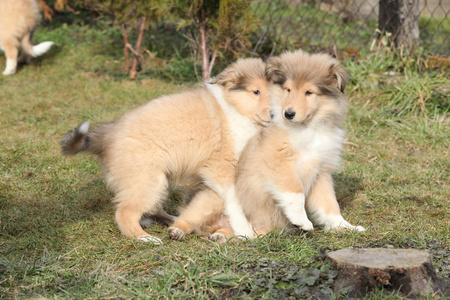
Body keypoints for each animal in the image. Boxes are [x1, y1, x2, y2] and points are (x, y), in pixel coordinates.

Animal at [59, 57, 270, 245]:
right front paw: (244, 230)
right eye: (256, 91)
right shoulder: (221, 168)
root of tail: (107, 134)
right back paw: (145, 238)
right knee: (125, 213)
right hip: (148, 180)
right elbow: (235, 200)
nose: (275, 113)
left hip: (156, 180)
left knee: (151, 209)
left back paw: (171, 220)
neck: (234, 108)